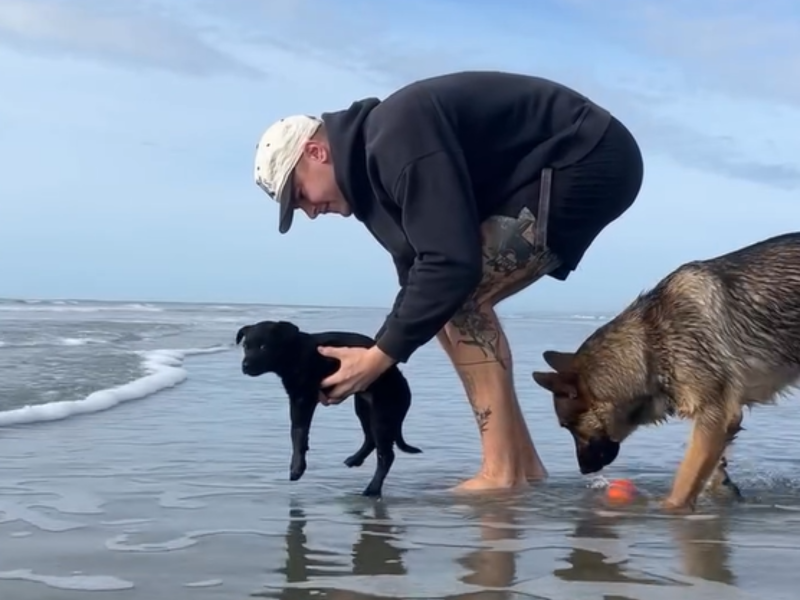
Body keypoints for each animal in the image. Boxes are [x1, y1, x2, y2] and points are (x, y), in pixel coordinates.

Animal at [234, 322, 422, 500]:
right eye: (245, 346)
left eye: (264, 347)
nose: (245, 366)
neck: (294, 352)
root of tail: (403, 384)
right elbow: (299, 431)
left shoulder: (302, 399)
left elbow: (297, 431)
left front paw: (297, 467)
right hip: (363, 407)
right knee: (371, 439)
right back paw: (355, 459)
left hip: (382, 413)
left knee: (386, 455)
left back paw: (372, 489)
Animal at [532, 232, 800, 512]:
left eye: (567, 426)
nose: (583, 471)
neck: (649, 345)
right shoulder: (720, 420)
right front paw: (721, 485)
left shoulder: (715, 415)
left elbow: (684, 482)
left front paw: (664, 507)